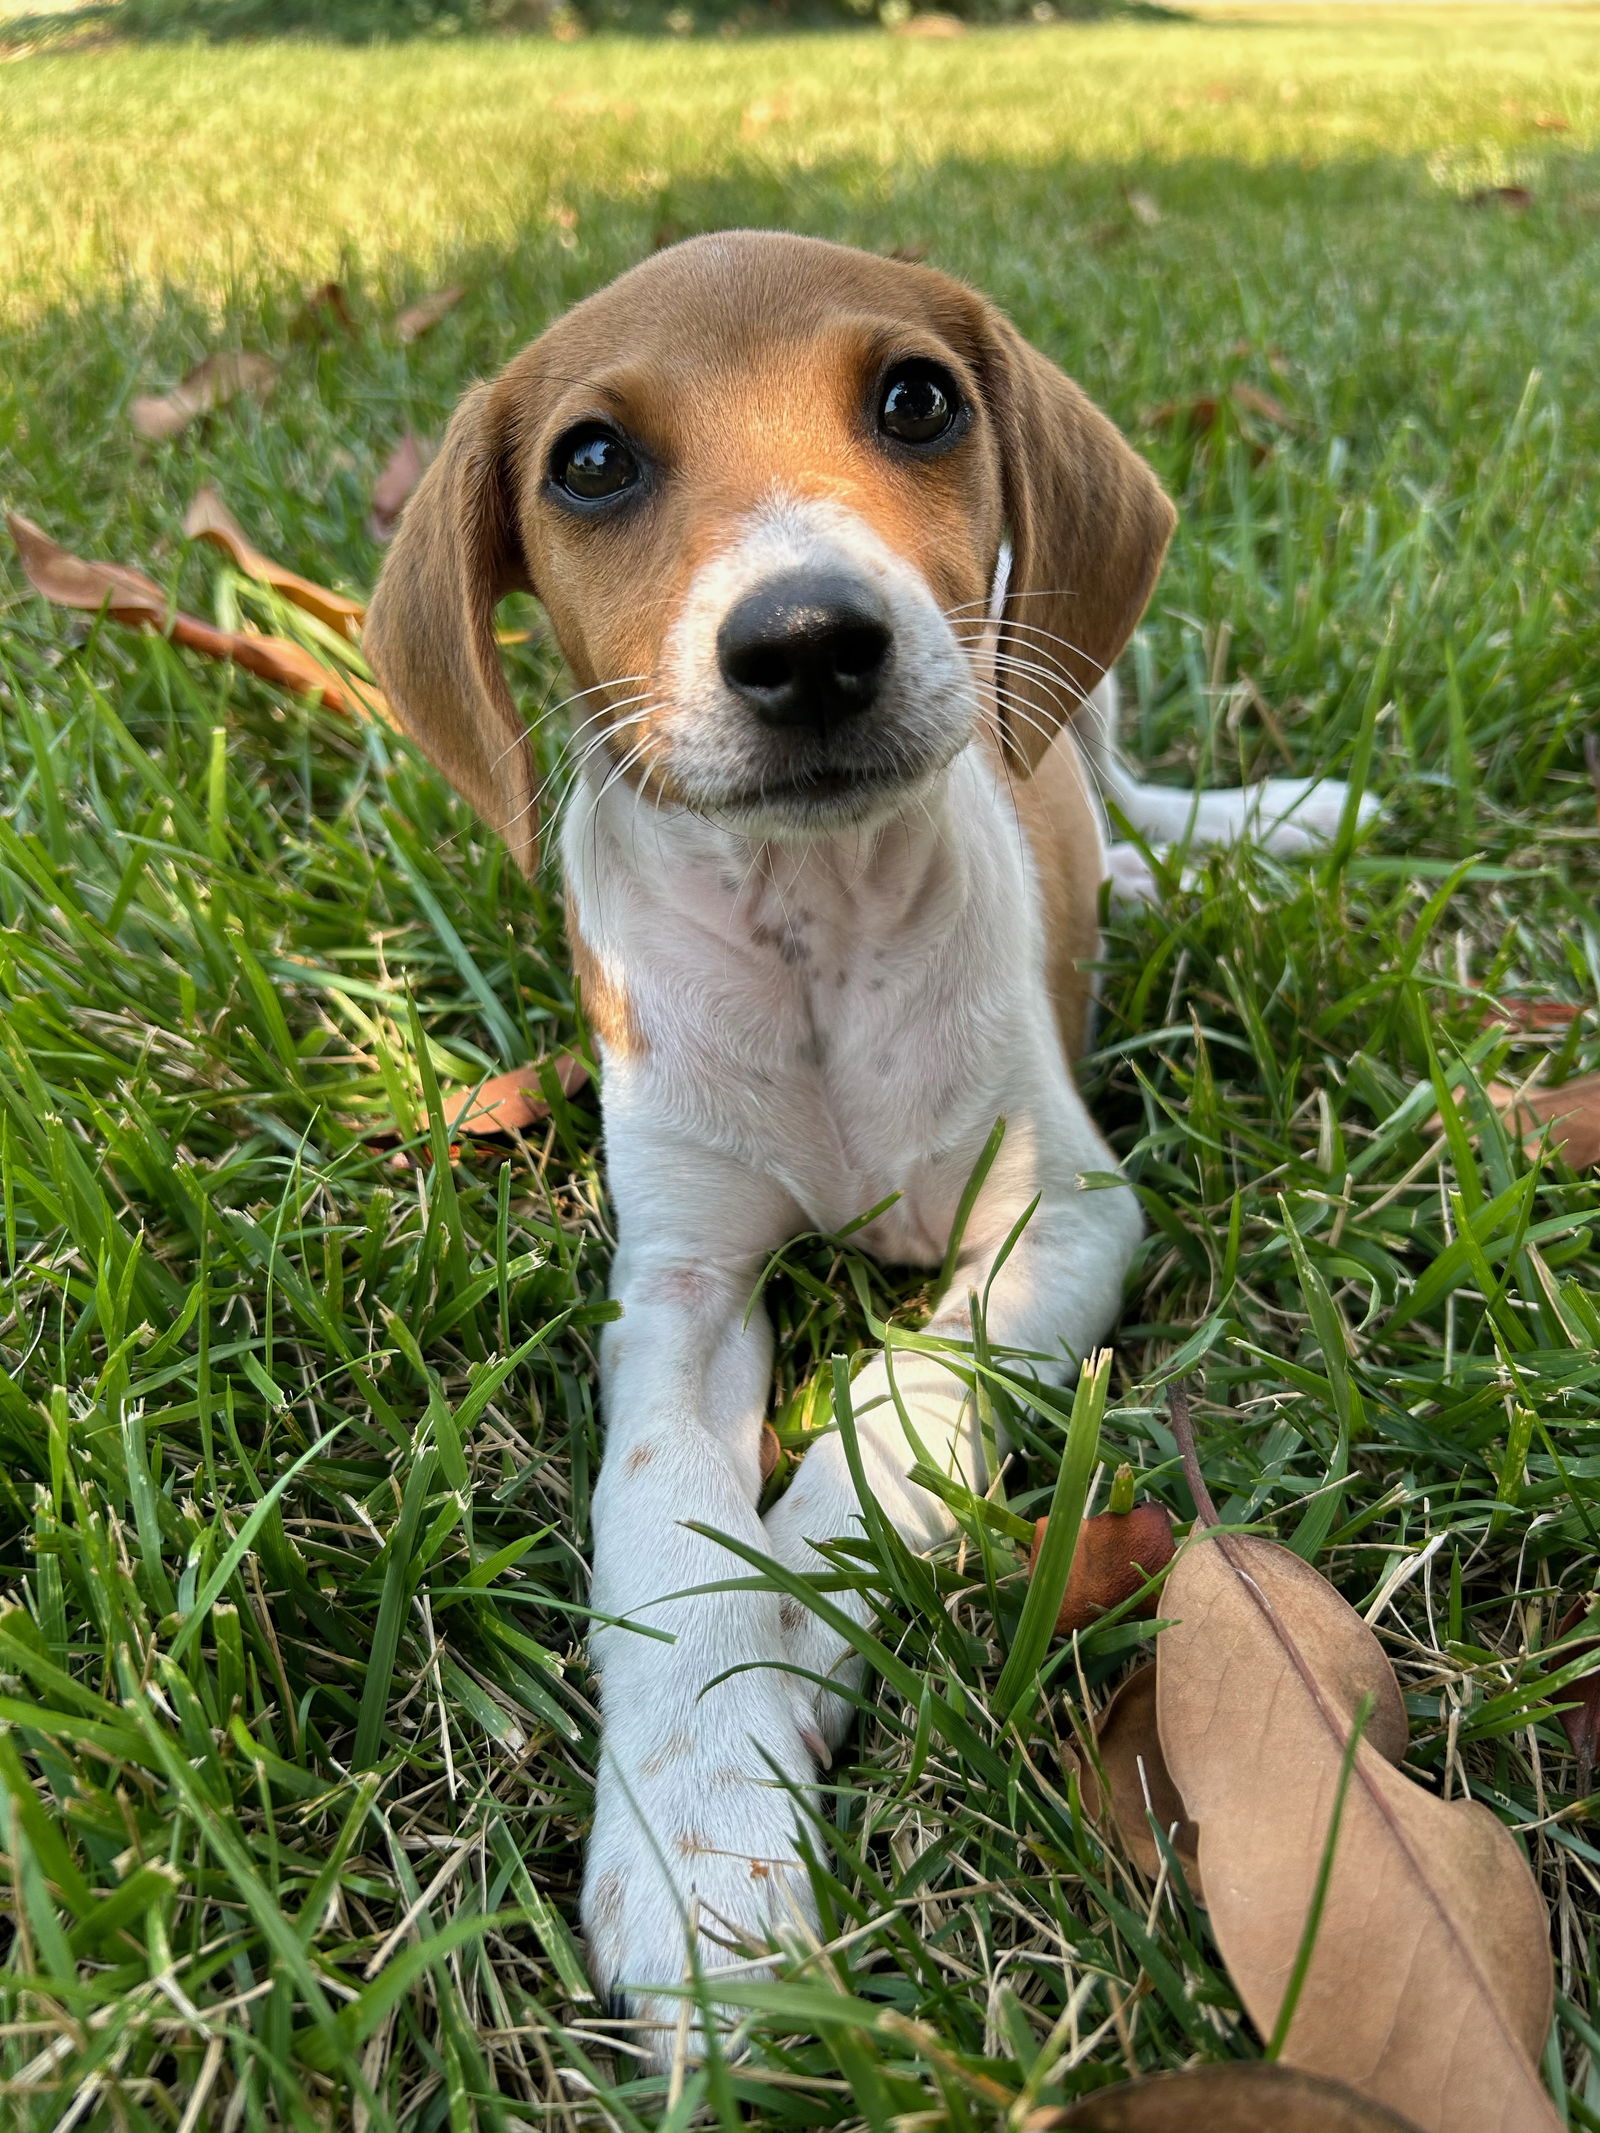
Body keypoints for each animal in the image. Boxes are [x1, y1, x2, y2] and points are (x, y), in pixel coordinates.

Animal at [366, 233, 1382, 2064]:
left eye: (917, 399)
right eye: (592, 461)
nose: (809, 642)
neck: (812, 930)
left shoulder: (1064, 1220)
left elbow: (890, 1420)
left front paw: (783, 1640)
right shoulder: (676, 1284)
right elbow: (666, 1521)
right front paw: (701, 1831)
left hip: (1060, 669)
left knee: (1117, 785)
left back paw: (1237, 840)